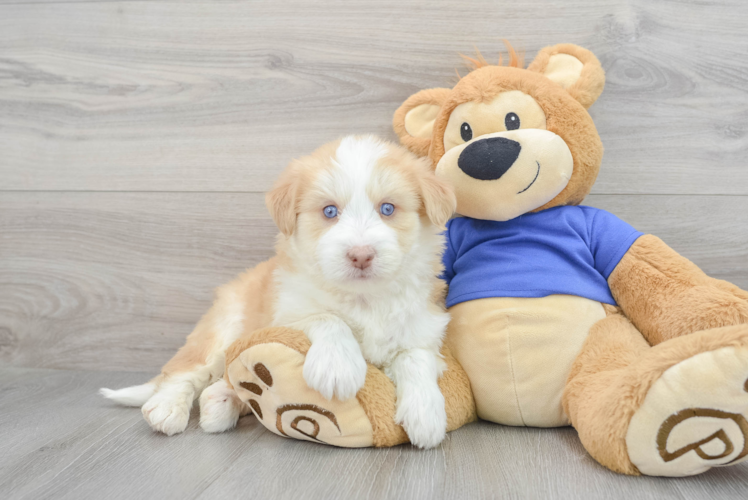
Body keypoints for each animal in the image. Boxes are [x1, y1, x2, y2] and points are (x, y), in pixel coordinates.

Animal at [101, 134, 456, 450]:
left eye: (387, 209)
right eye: (330, 211)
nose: (361, 255)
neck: (363, 298)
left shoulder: (423, 324)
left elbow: (416, 357)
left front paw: (425, 412)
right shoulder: (284, 311)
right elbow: (325, 316)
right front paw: (337, 366)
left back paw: (221, 402)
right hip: (225, 325)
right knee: (185, 370)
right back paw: (168, 407)